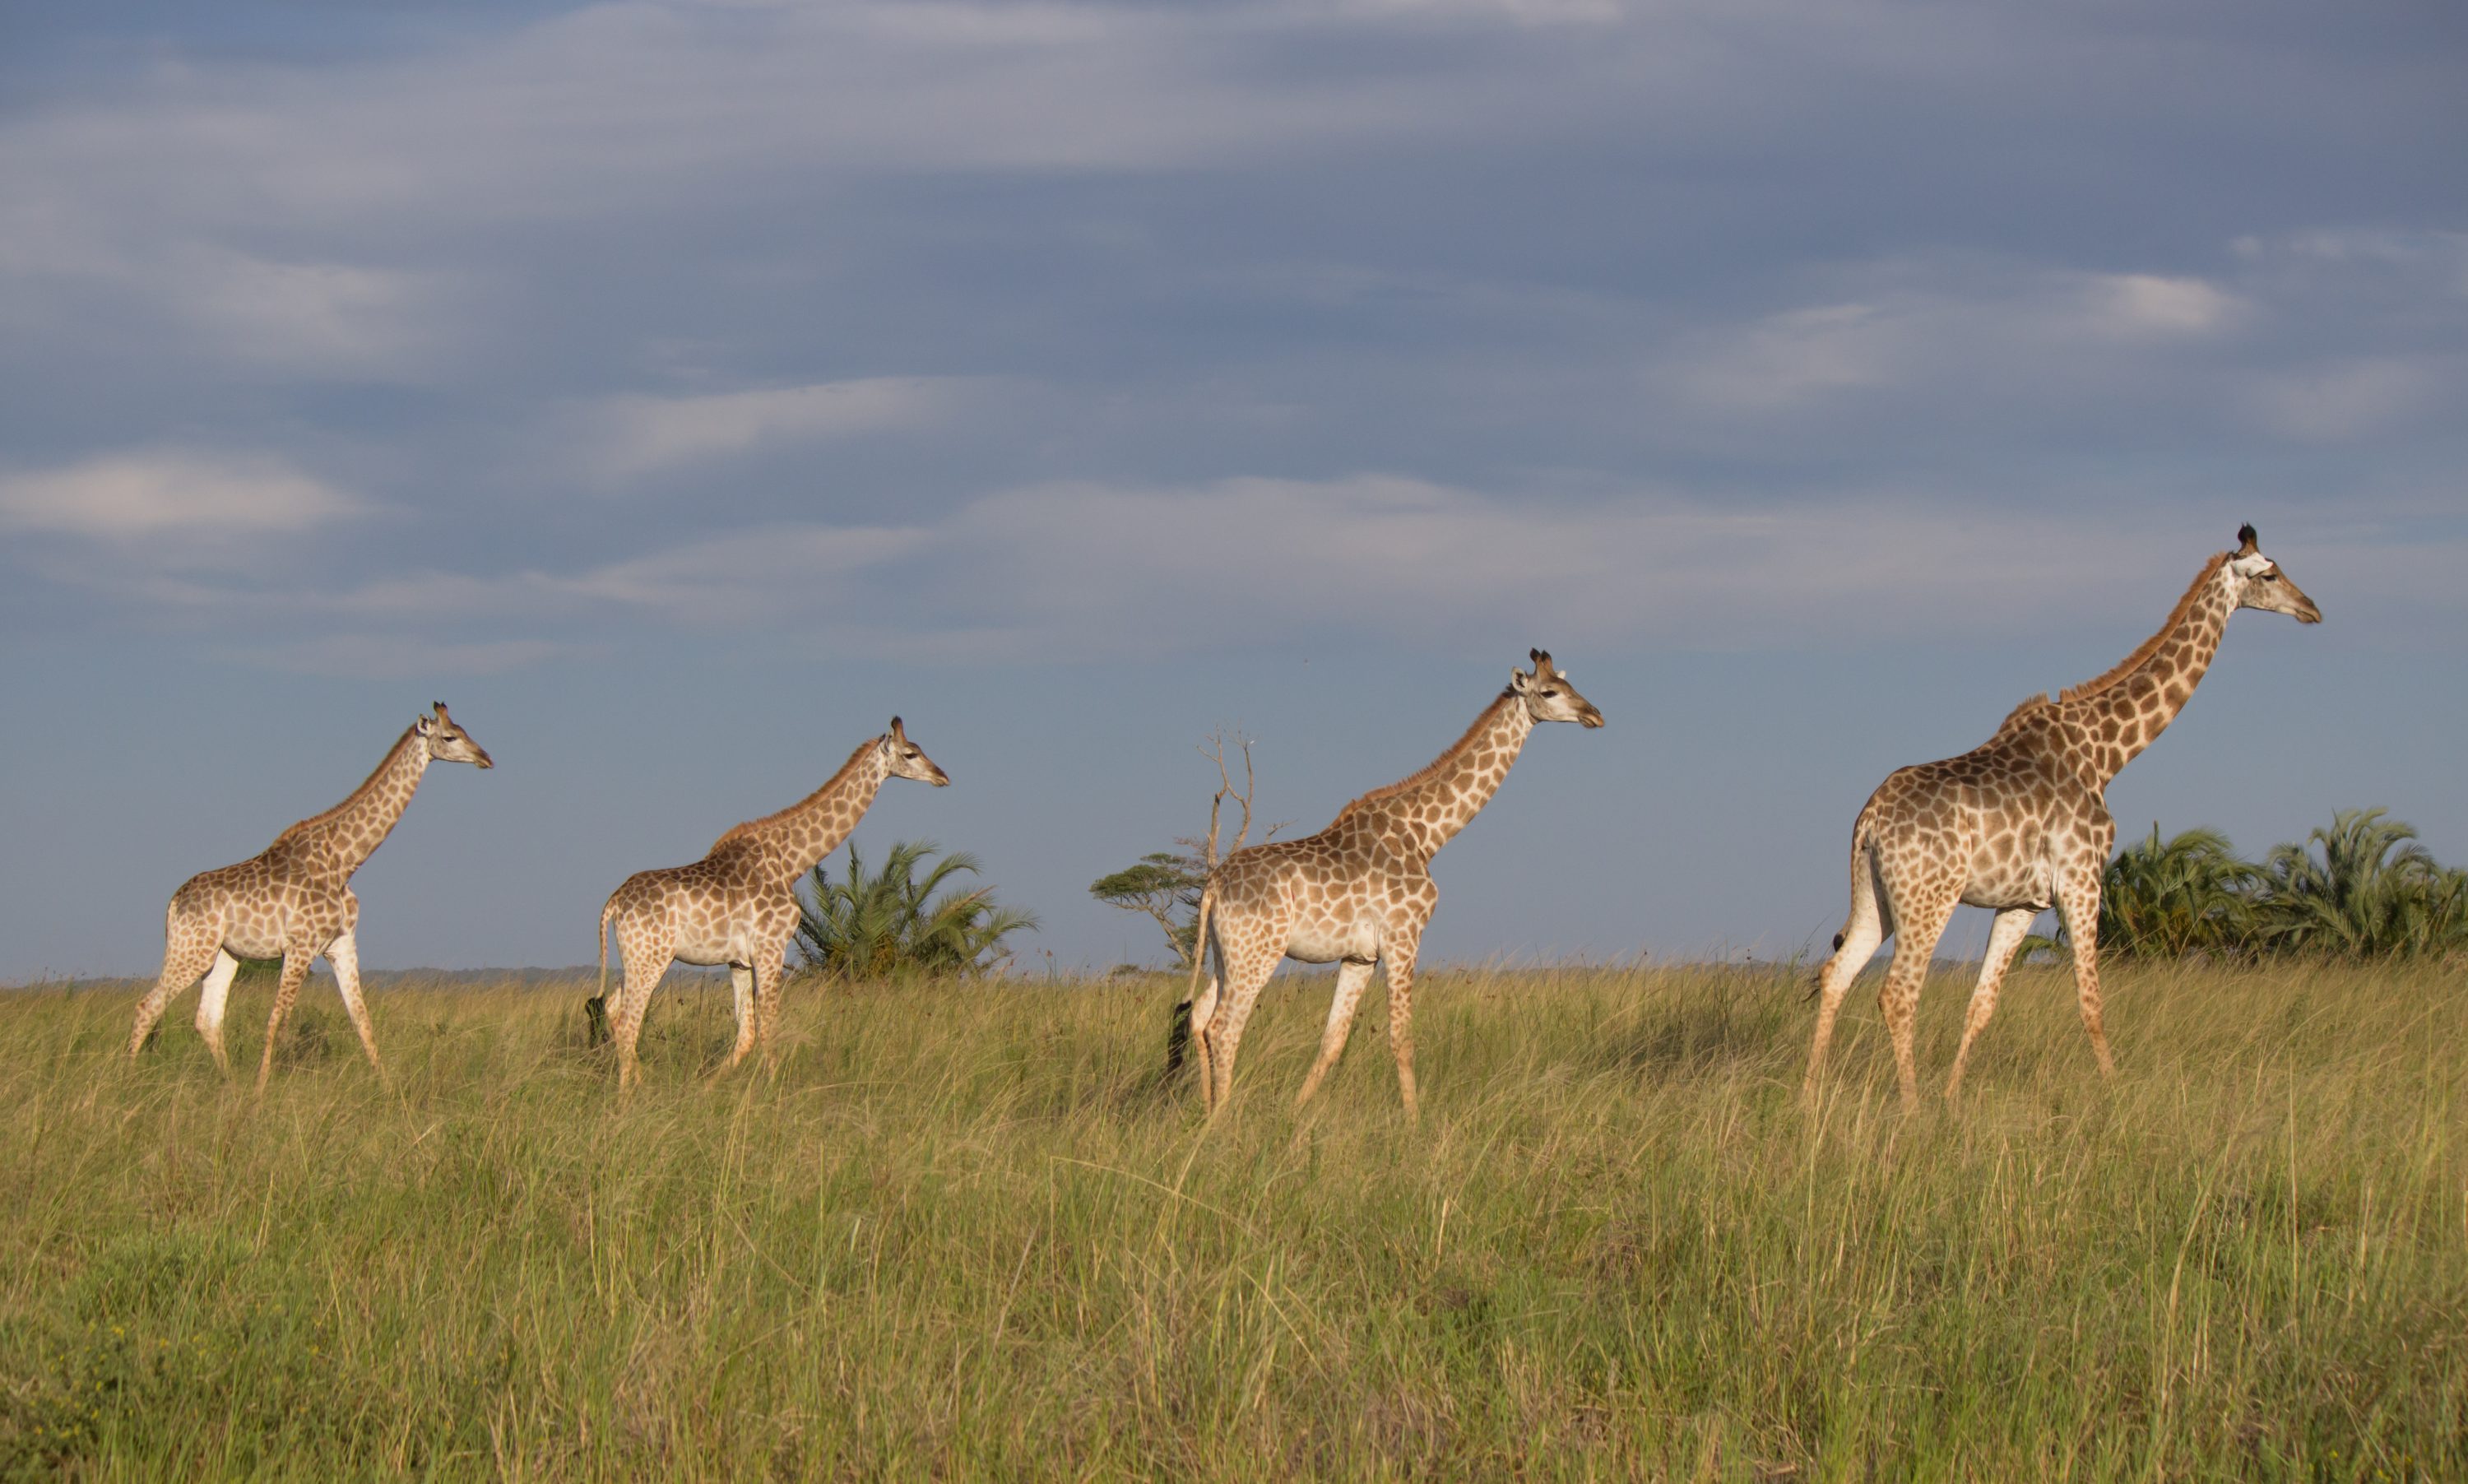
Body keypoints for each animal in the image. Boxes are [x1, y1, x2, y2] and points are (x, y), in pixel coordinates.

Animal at [127, 703, 495, 1090]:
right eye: (450, 737)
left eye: (465, 730)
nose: (485, 758)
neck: (344, 861)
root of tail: (173, 903)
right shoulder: (300, 947)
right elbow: (278, 1018)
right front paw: (261, 1092)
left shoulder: (341, 945)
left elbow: (361, 1018)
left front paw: (387, 1087)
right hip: (191, 949)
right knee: (147, 1006)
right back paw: (128, 1080)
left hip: (223, 954)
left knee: (207, 1019)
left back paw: (229, 1085)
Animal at [594, 717, 948, 1091]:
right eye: (910, 754)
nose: (942, 776)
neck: (789, 862)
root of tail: (614, 903)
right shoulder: (771, 948)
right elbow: (768, 1026)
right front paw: (772, 1091)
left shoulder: (739, 961)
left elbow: (747, 1033)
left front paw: (708, 1088)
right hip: (653, 957)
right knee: (629, 1022)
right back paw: (628, 1096)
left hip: (635, 957)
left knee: (615, 1011)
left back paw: (635, 1085)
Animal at [1185, 650, 1604, 1123]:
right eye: (1549, 692)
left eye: (1571, 686)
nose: (1595, 714)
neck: (1426, 835)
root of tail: (1214, 884)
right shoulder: (1404, 938)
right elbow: (1402, 1039)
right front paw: (1414, 1127)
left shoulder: (1360, 956)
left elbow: (1333, 1041)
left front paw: (1294, 1117)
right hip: (1260, 951)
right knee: (1224, 1027)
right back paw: (1222, 1122)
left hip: (1227, 953)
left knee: (1199, 1017)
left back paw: (1204, 1115)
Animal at [1804, 526, 2321, 1111]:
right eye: (2270, 574)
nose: (2311, 608)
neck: (2105, 752)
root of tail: (1870, 819)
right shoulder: (2081, 879)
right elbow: (2090, 1000)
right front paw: (2116, 1095)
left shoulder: (2022, 902)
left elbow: (1982, 1005)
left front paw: (1954, 1098)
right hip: (1929, 898)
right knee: (1896, 994)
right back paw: (1911, 1111)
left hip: (1874, 895)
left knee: (1836, 974)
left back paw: (1807, 1099)